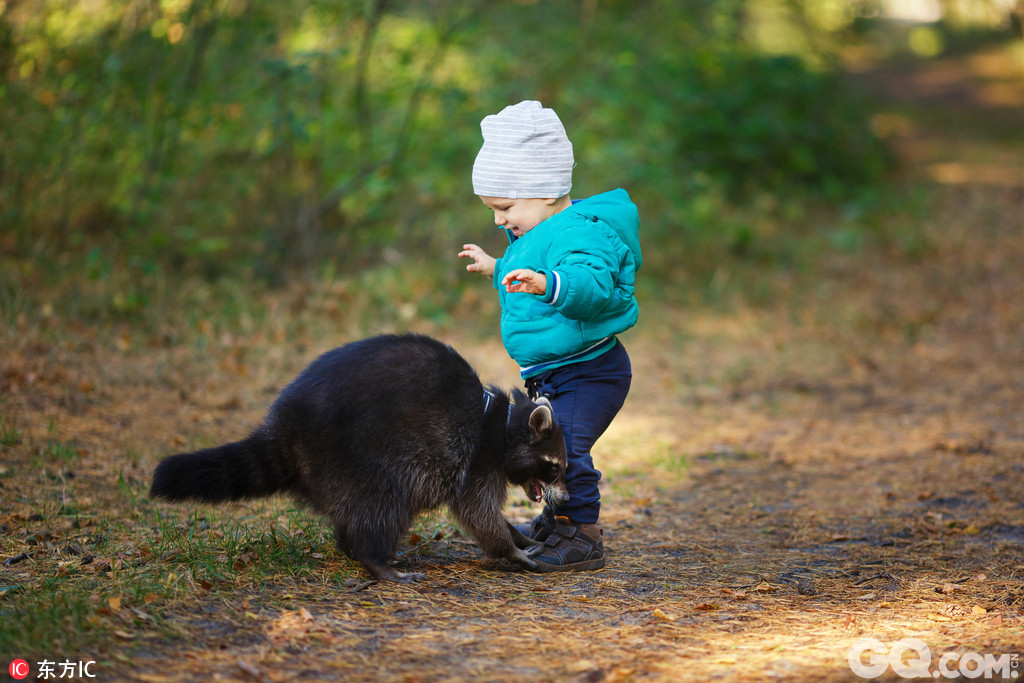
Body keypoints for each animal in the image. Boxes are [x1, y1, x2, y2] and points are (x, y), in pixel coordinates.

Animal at [148, 331, 569, 581]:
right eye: (555, 466)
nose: (564, 498)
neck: (501, 421)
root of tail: (286, 430)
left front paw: (516, 534)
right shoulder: (476, 457)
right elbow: (477, 512)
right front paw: (508, 546)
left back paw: (353, 549)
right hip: (365, 456)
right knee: (385, 506)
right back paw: (374, 559)